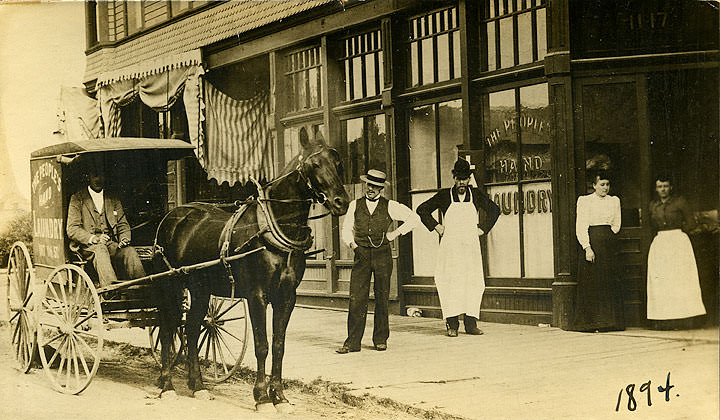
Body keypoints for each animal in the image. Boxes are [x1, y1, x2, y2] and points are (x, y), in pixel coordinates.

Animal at [153, 130, 350, 412]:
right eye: (314, 164)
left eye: (337, 162)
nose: (341, 202)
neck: (274, 228)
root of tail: (172, 215)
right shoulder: (257, 295)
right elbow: (261, 345)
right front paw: (262, 397)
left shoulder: (286, 297)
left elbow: (278, 345)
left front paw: (280, 396)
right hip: (171, 284)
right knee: (168, 328)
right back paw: (167, 384)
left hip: (200, 289)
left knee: (191, 327)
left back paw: (197, 385)